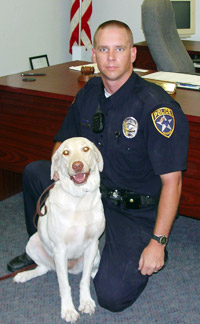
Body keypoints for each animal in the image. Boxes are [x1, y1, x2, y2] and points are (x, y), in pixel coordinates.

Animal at [13, 137, 105, 324]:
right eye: (65, 152)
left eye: (86, 149)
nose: (77, 165)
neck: (79, 197)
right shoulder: (60, 249)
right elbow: (64, 285)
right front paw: (68, 309)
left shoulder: (92, 245)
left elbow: (84, 280)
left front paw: (86, 301)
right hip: (34, 243)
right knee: (44, 268)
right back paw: (23, 276)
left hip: (96, 254)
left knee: (90, 272)